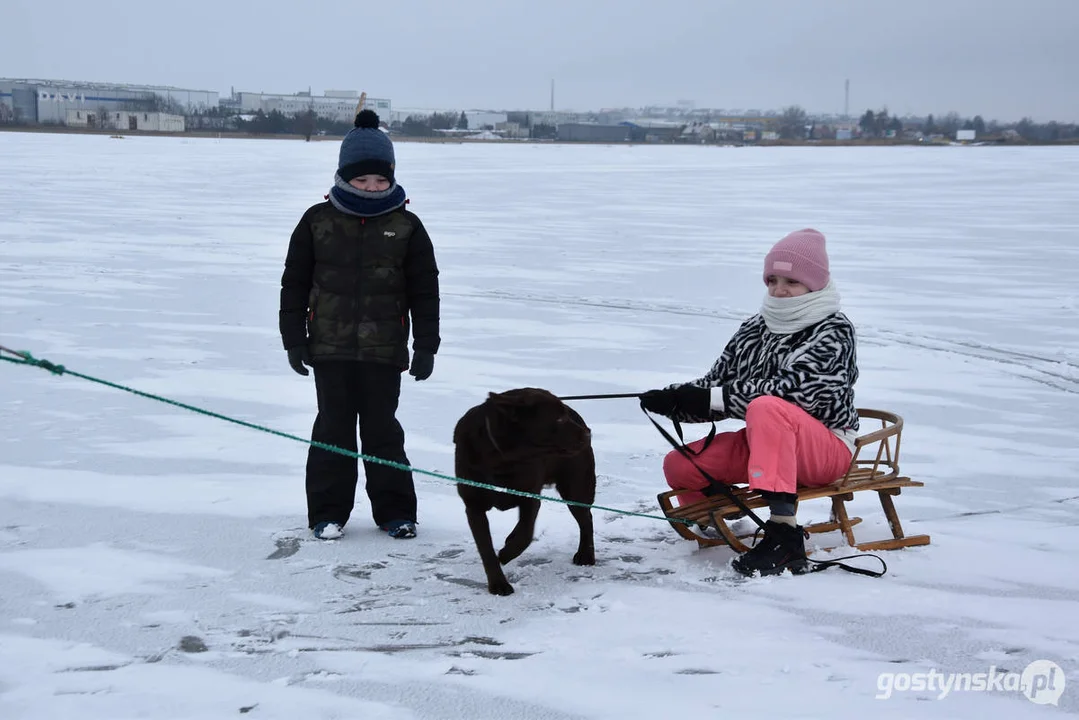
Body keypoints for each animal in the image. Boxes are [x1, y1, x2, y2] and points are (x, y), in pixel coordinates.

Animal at [448, 388, 595, 595]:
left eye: (564, 415)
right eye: (559, 418)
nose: (589, 433)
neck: (502, 459)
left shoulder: (530, 496)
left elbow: (526, 533)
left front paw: (505, 554)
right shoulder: (474, 506)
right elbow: (486, 548)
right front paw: (498, 584)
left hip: (575, 488)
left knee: (586, 519)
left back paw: (586, 555)